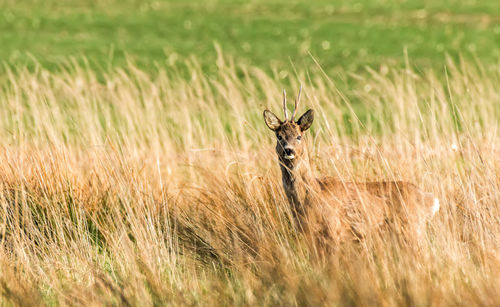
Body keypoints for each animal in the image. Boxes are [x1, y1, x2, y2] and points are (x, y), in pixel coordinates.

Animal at [264, 88, 440, 247]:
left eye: (299, 136)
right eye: (279, 136)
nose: (288, 150)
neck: (311, 194)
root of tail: (429, 198)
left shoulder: (332, 231)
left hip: (411, 230)